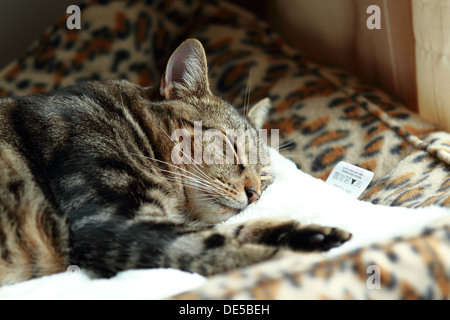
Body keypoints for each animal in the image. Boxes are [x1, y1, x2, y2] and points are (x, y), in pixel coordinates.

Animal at [0, 38, 350, 286]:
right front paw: (296, 257)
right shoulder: (111, 224)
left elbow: (232, 230)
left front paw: (310, 234)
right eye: (232, 147)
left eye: (264, 175)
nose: (255, 194)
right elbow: (214, 246)